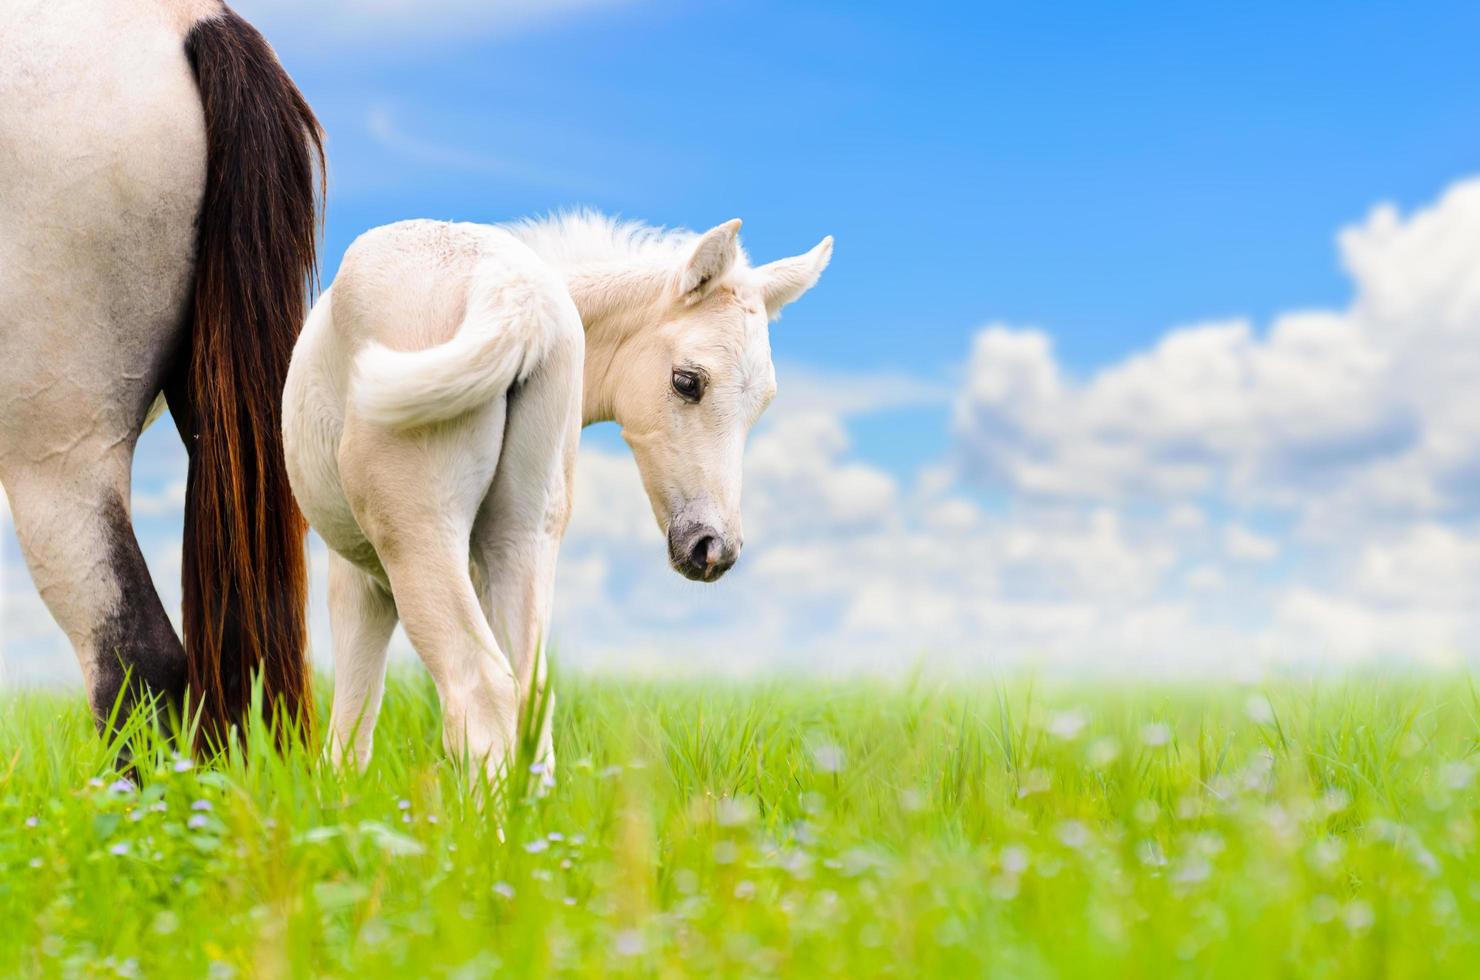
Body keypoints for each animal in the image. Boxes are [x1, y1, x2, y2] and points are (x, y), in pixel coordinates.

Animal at [279, 213, 834, 775]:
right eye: (686, 381)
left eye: (761, 404)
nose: (713, 548)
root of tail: (514, 291)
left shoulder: (362, 578)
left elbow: (351, 726)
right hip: (520, 537)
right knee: (529, 696)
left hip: (418, 536)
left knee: (482, 690)